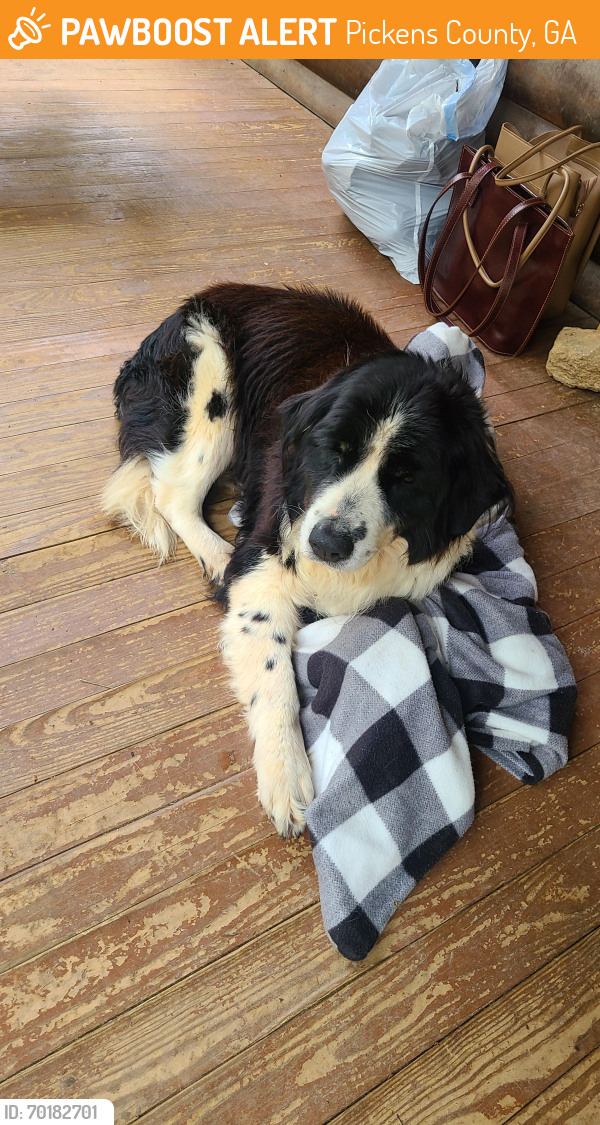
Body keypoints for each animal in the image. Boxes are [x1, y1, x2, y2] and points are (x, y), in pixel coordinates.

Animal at [101, 285, 511, 841]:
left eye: (407, 478)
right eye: (334, 450)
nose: (326, 543)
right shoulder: (266, 560)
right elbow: (273, 671)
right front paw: (285, 773)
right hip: (211, 384)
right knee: (173, 496)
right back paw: (217, 553)